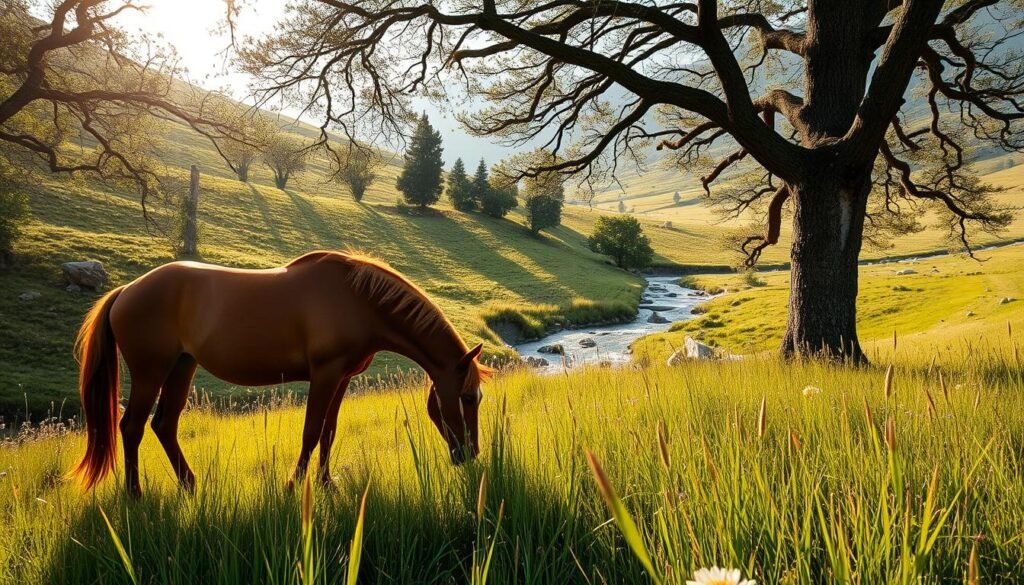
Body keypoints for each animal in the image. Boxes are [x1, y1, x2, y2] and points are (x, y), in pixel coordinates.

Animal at [70, 251, 493, 498]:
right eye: (467, 398)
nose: (470, 455)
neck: (358, 299)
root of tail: (126, 290)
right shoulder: (325, 374)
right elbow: (311, 431)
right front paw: (293, 485)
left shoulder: (342, 378)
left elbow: (328, 431)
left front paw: (326, 483)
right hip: (150, 372)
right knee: (132, 428)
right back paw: (135, 495)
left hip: (181, 367)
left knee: (164, 425)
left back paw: (190, 486)